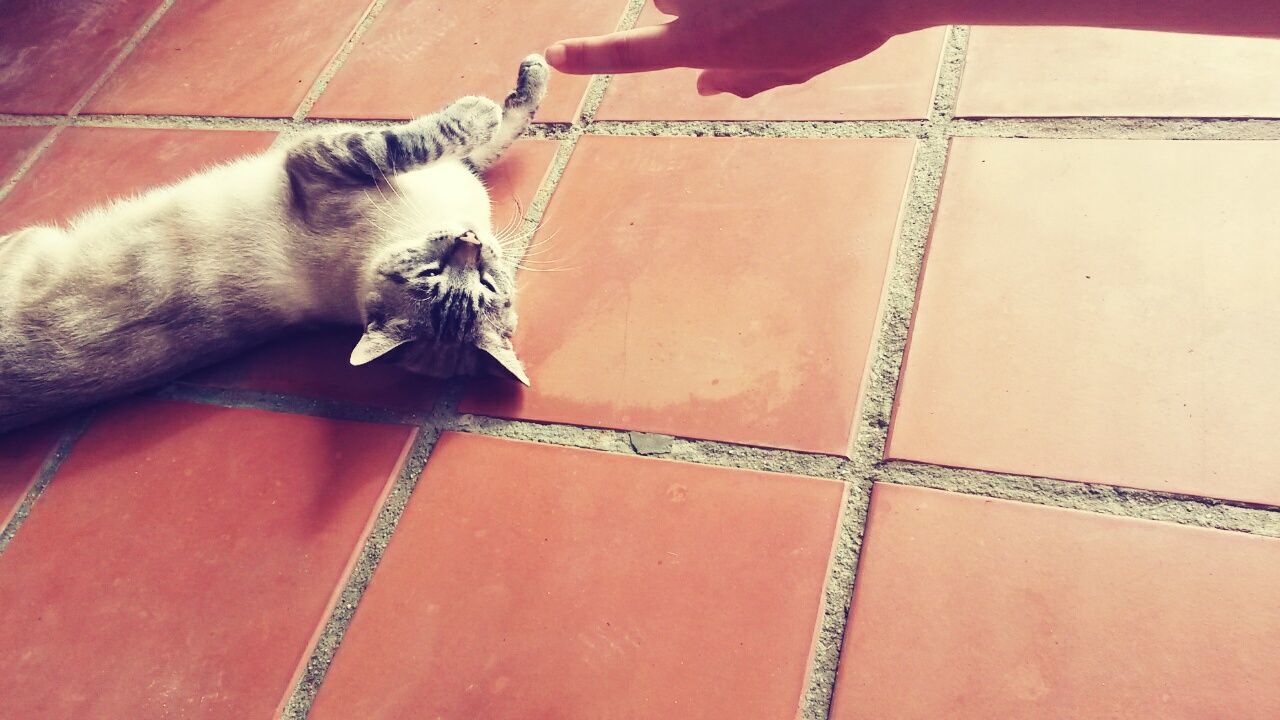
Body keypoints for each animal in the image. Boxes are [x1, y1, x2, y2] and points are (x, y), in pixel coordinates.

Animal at [0, 54, 545, 430]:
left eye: (484, 284)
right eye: (432, 272)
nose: (469, 241)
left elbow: (460, 136)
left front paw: (503, 95)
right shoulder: (334, 158)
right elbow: (465, 134)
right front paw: (520, 85)